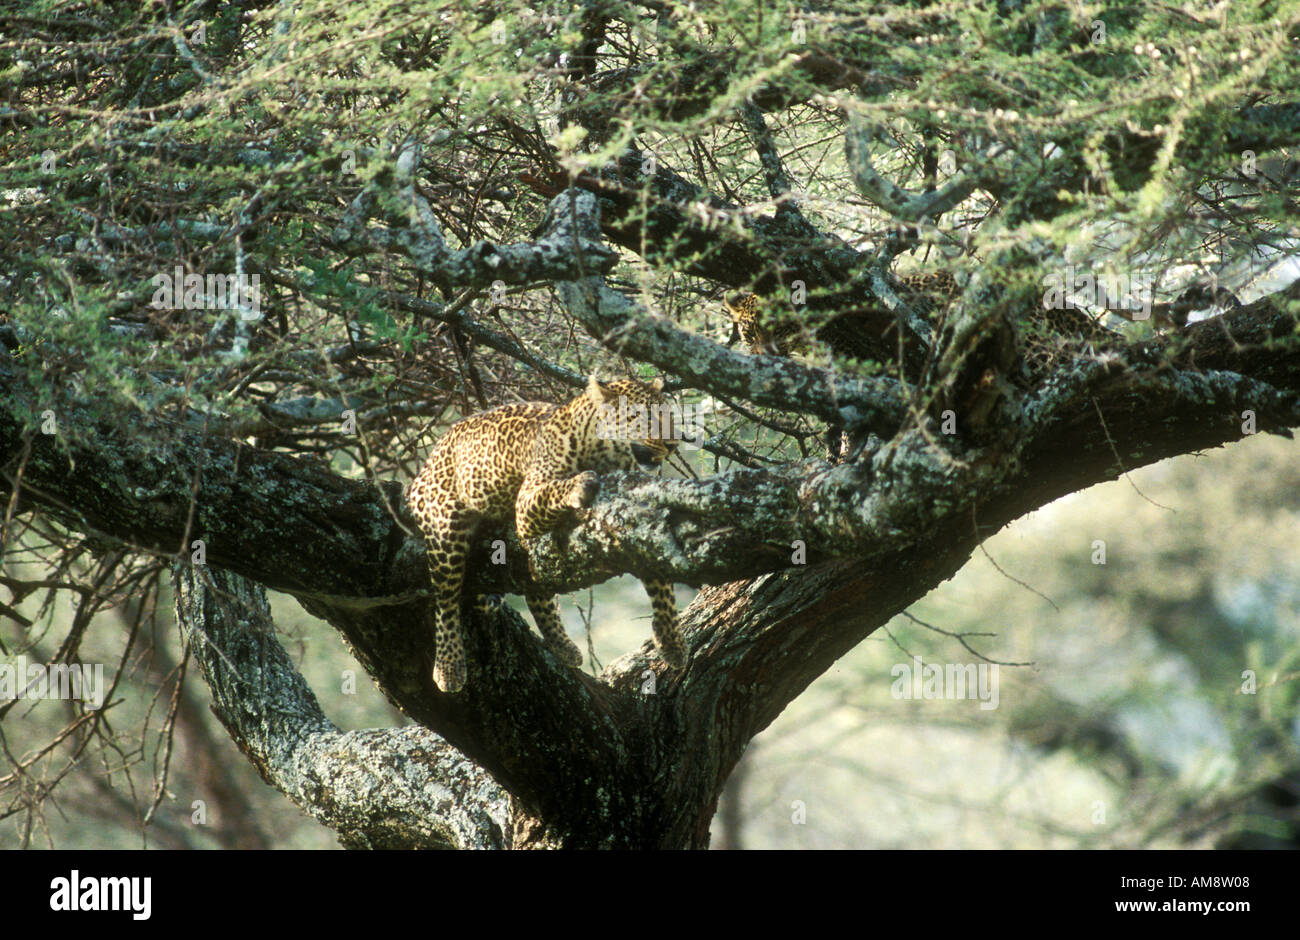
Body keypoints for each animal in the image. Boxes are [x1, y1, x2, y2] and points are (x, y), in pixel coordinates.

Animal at [408, 374, 691, 691]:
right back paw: (449, 667)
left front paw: (671, 642)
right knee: (446, 599)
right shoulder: (526, 501)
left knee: (535, 589)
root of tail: (426, 465)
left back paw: (563, 645)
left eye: (668, 416)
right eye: (644, 417)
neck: (605, 453)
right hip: (445, 527)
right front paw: (580, 485)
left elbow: (661, 583)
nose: (672, 444)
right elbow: (554, 489)